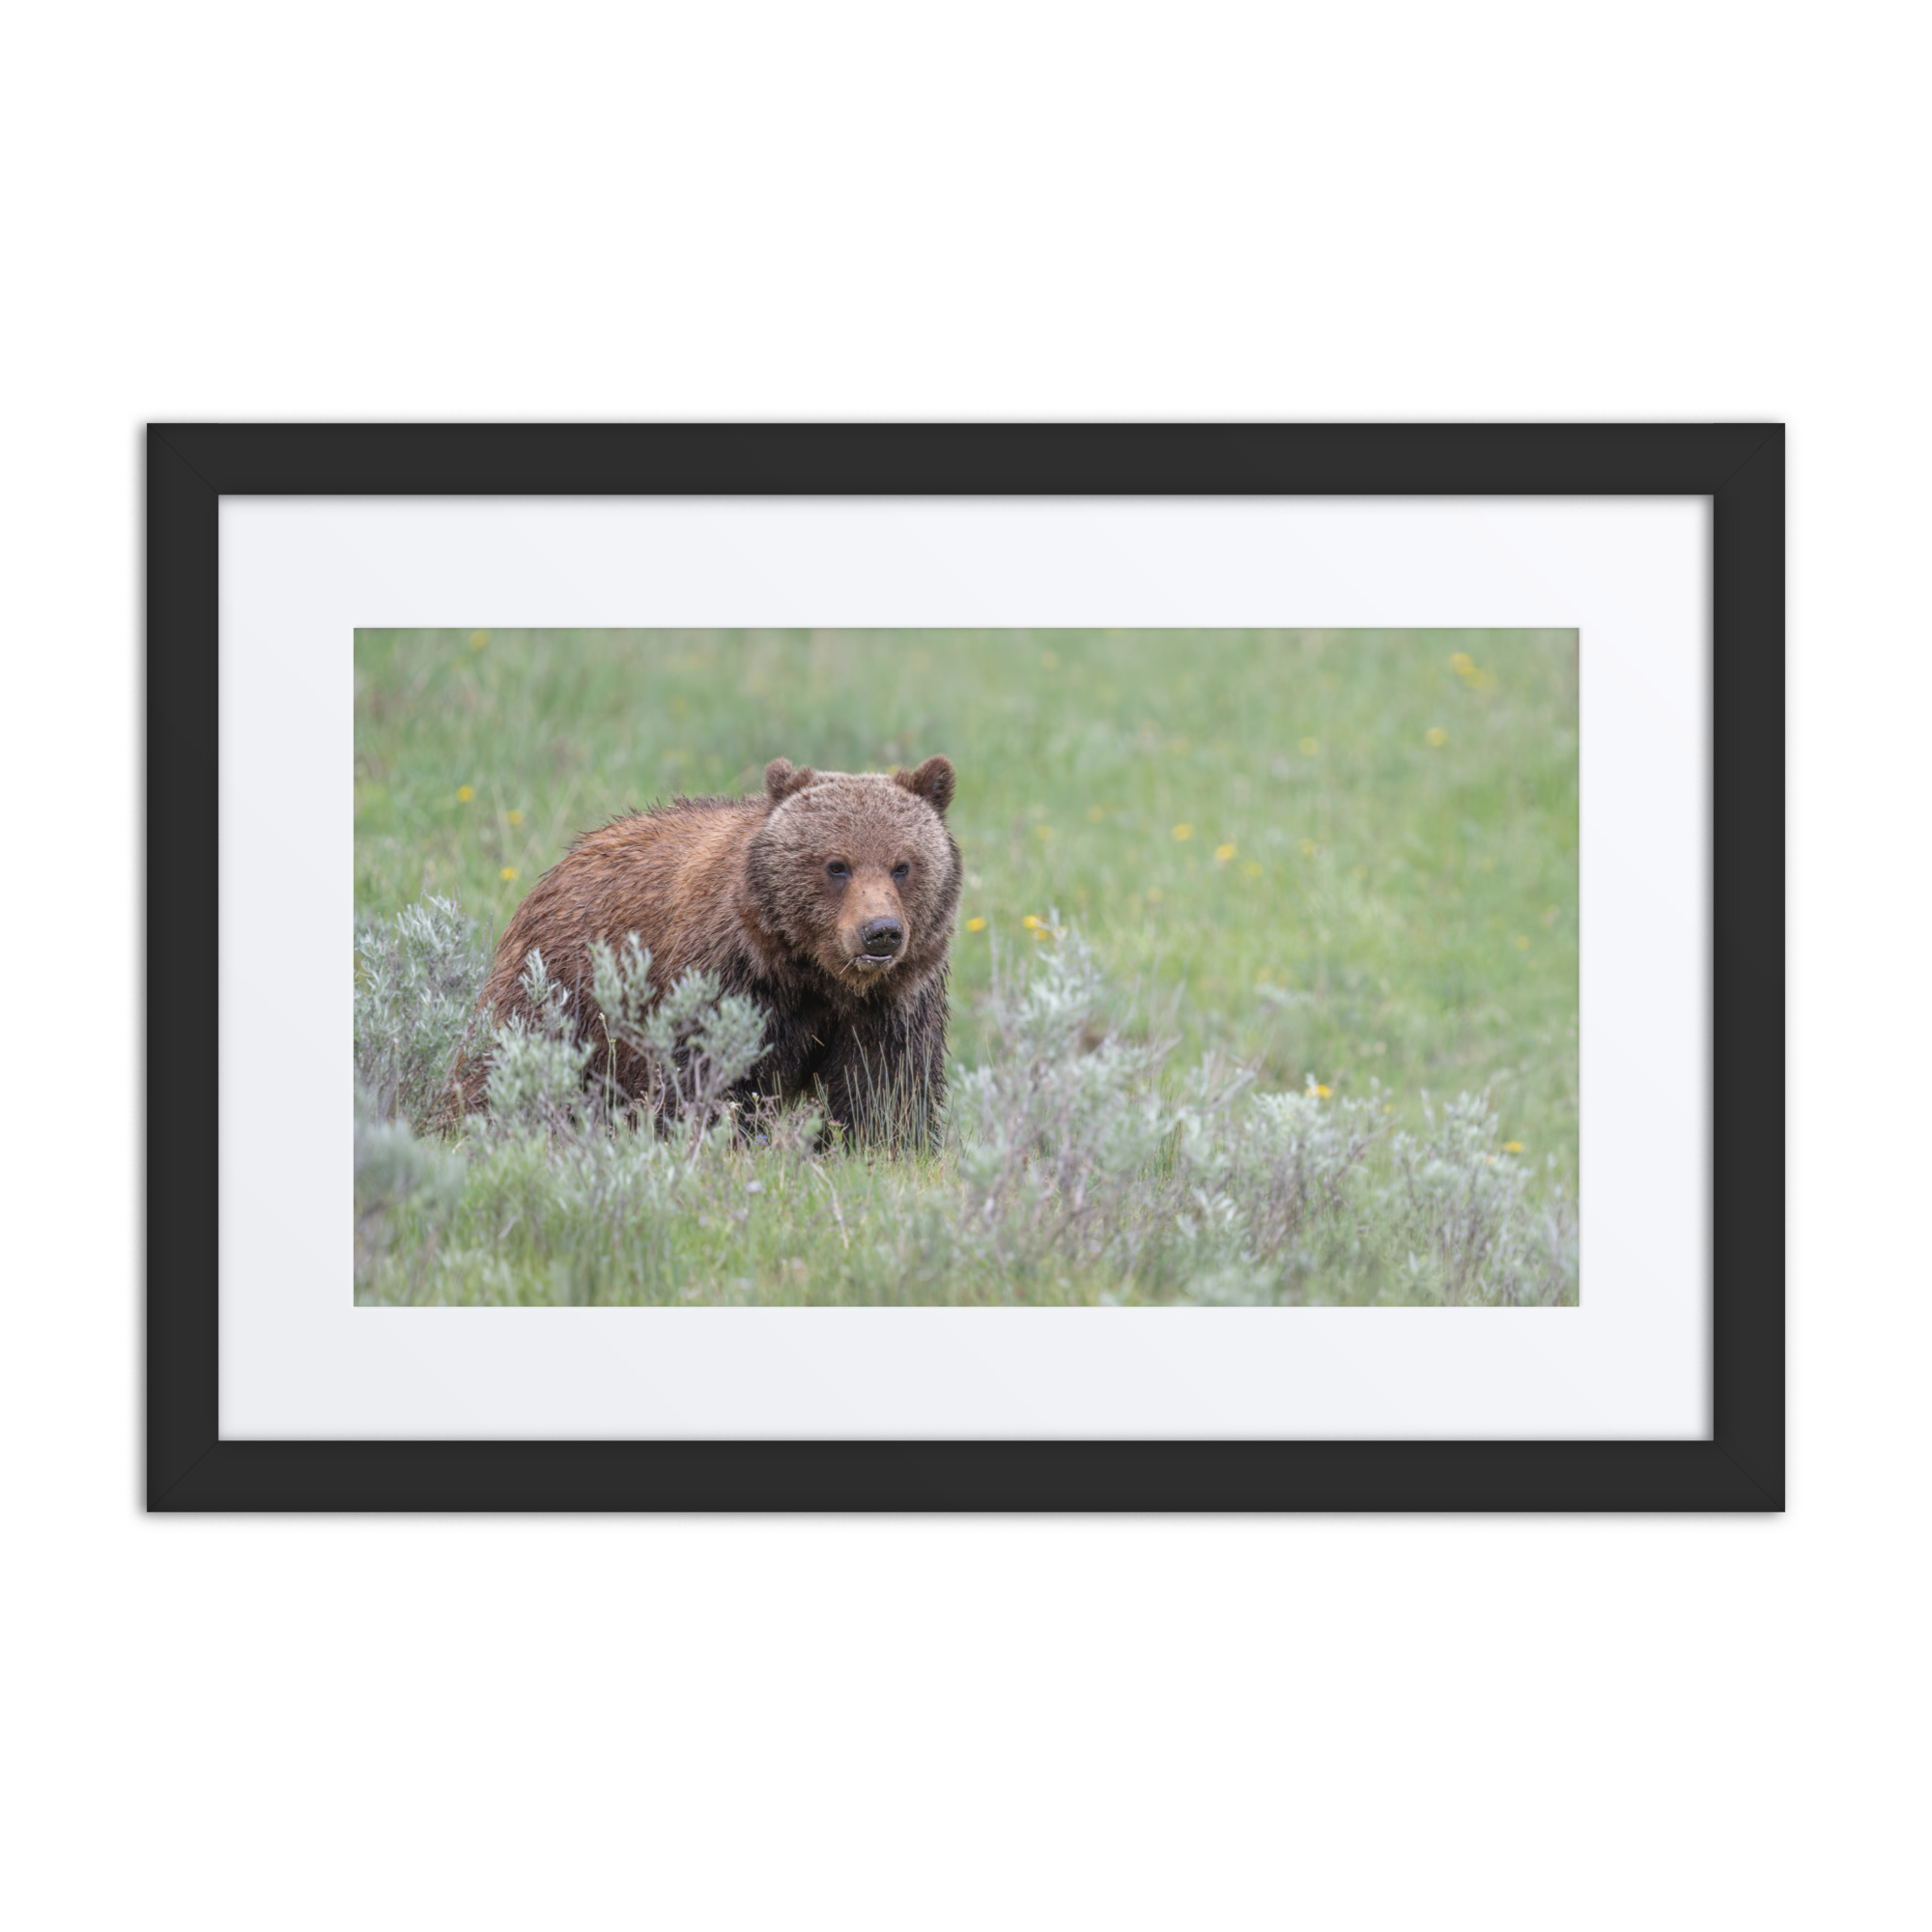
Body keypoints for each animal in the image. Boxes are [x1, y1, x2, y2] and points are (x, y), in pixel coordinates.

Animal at [463, 754, 961, 1143]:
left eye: (902, 865)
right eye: (836, 865)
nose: (880, 932)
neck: (815, 974)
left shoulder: (893, 1001)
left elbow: (885, 1088)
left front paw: (880, 1144)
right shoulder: (729, 977)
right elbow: (705, 1075)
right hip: (559, 986)